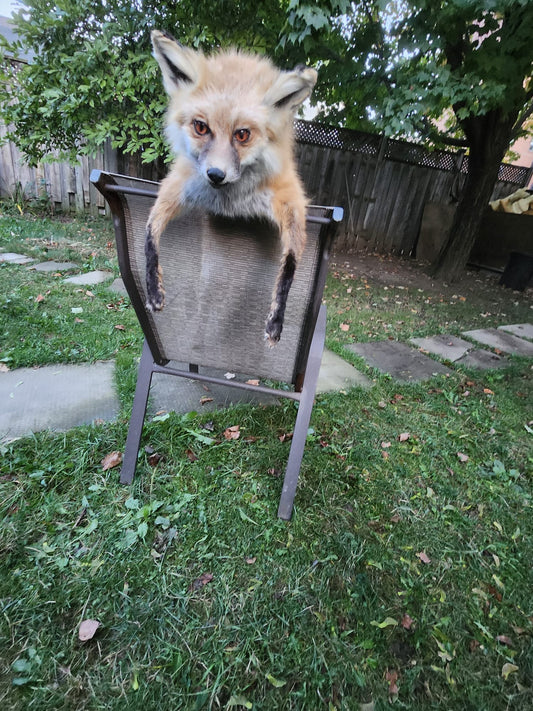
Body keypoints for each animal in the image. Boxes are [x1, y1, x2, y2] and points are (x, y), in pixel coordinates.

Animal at [145, 30, 318, 346]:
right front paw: (153, 289)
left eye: (242, 135)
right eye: (201, 127)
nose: (215, 174)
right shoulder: (180, 183)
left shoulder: (290, 197)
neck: (231, 200)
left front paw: (277, 319)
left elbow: (289, 264)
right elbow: (149, 233)